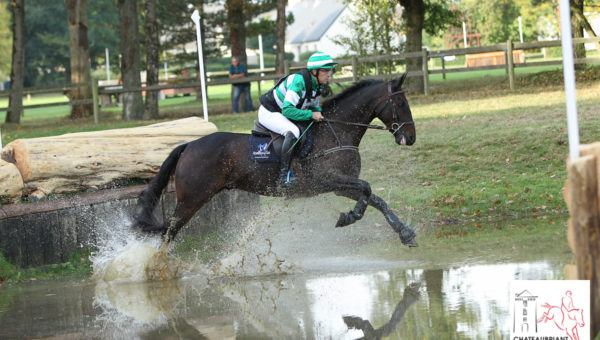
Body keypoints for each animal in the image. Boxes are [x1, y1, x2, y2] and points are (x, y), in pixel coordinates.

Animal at [134, 73, 420, 247]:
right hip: (192, 199)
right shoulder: (329, 179)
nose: (411, 137)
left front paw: (404, 233)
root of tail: (189, 145)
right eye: (401, 103)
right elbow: (367, 189)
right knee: (168, 232)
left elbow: (375, 198)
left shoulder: (340, 185)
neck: (336, 131)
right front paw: (349, 217)